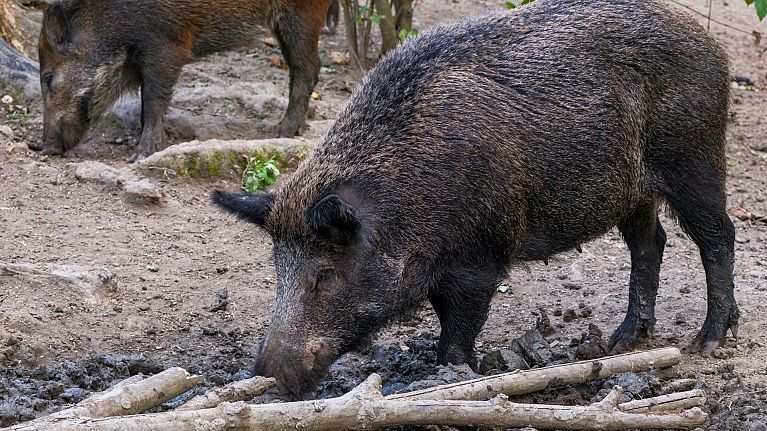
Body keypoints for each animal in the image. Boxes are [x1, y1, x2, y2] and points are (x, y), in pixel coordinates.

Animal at [37, 0, 337, 161]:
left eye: (48, 77)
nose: (47, 148)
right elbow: (145, 106)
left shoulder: (166, 48)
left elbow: (153, 99)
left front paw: (140, 155)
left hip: (302, 16)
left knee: (306, 69)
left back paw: (281, 131)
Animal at [214, 0, 739, 399]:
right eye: (277, 270)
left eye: (322, 273)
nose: (266, 375)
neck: (404, 198)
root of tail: (708, 41)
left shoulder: (481, 257)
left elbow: (459, 331)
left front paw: (452, 377)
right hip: (634, 192)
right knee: (650, 242)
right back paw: (621, 343)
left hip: (695, 158)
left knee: (718, 236)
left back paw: (707, 343)